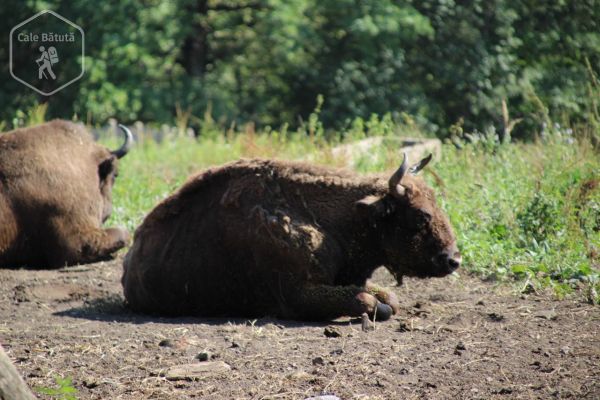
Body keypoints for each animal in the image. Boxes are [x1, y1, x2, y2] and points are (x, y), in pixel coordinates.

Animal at [120, 154, 460, 322]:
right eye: (420, 215)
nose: (453, 259)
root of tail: (129, 261)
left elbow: (387, 296)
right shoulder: (296, 295)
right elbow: (365, 300)